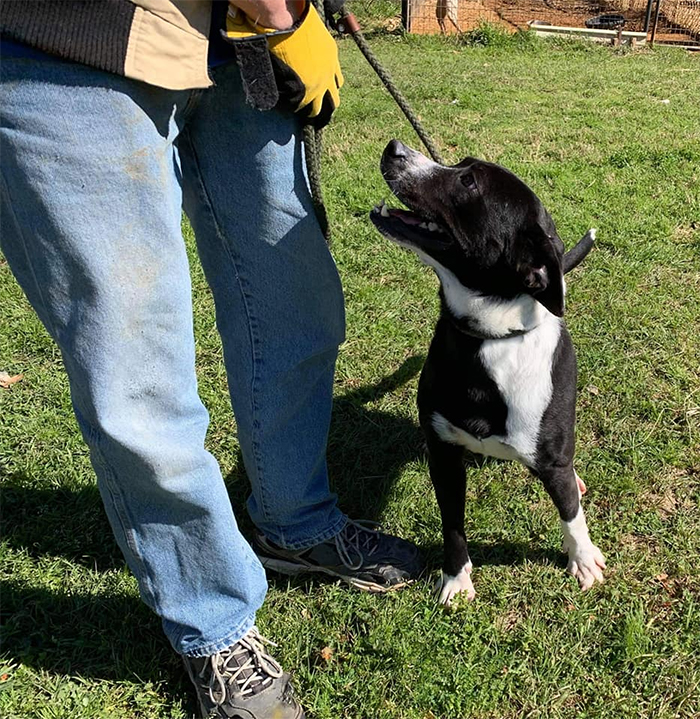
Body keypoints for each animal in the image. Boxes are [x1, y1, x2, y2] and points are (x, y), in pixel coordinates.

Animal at [370, 138, 604, 604]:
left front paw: (583, 558)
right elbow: (452, 525)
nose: (395, 147)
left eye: (468, 181)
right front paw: (456, 578)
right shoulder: (443, 455)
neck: (492, 338)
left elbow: (571, 514)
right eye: (461, 165)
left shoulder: (552, 461)